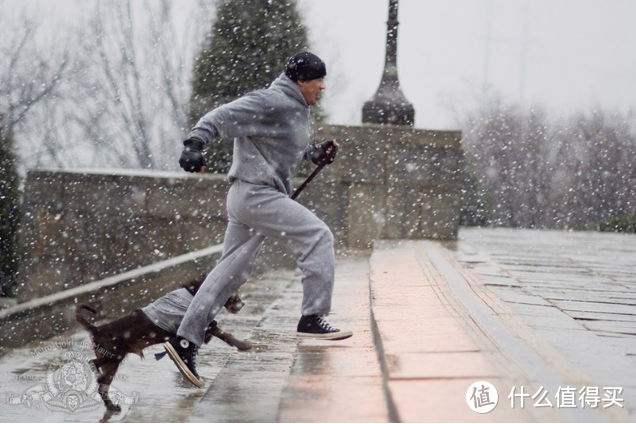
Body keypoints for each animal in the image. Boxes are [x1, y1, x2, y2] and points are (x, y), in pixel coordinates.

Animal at [76, 274, 250, 410]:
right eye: (231, 291)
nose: (242, 303)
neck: (195, 293)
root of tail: (97, 330)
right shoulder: (202, 325)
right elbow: (224, 334)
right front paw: (243, 345)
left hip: (111, 363)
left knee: (102, 386)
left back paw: (111, 407)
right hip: (112, 356)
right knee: (92, 364)